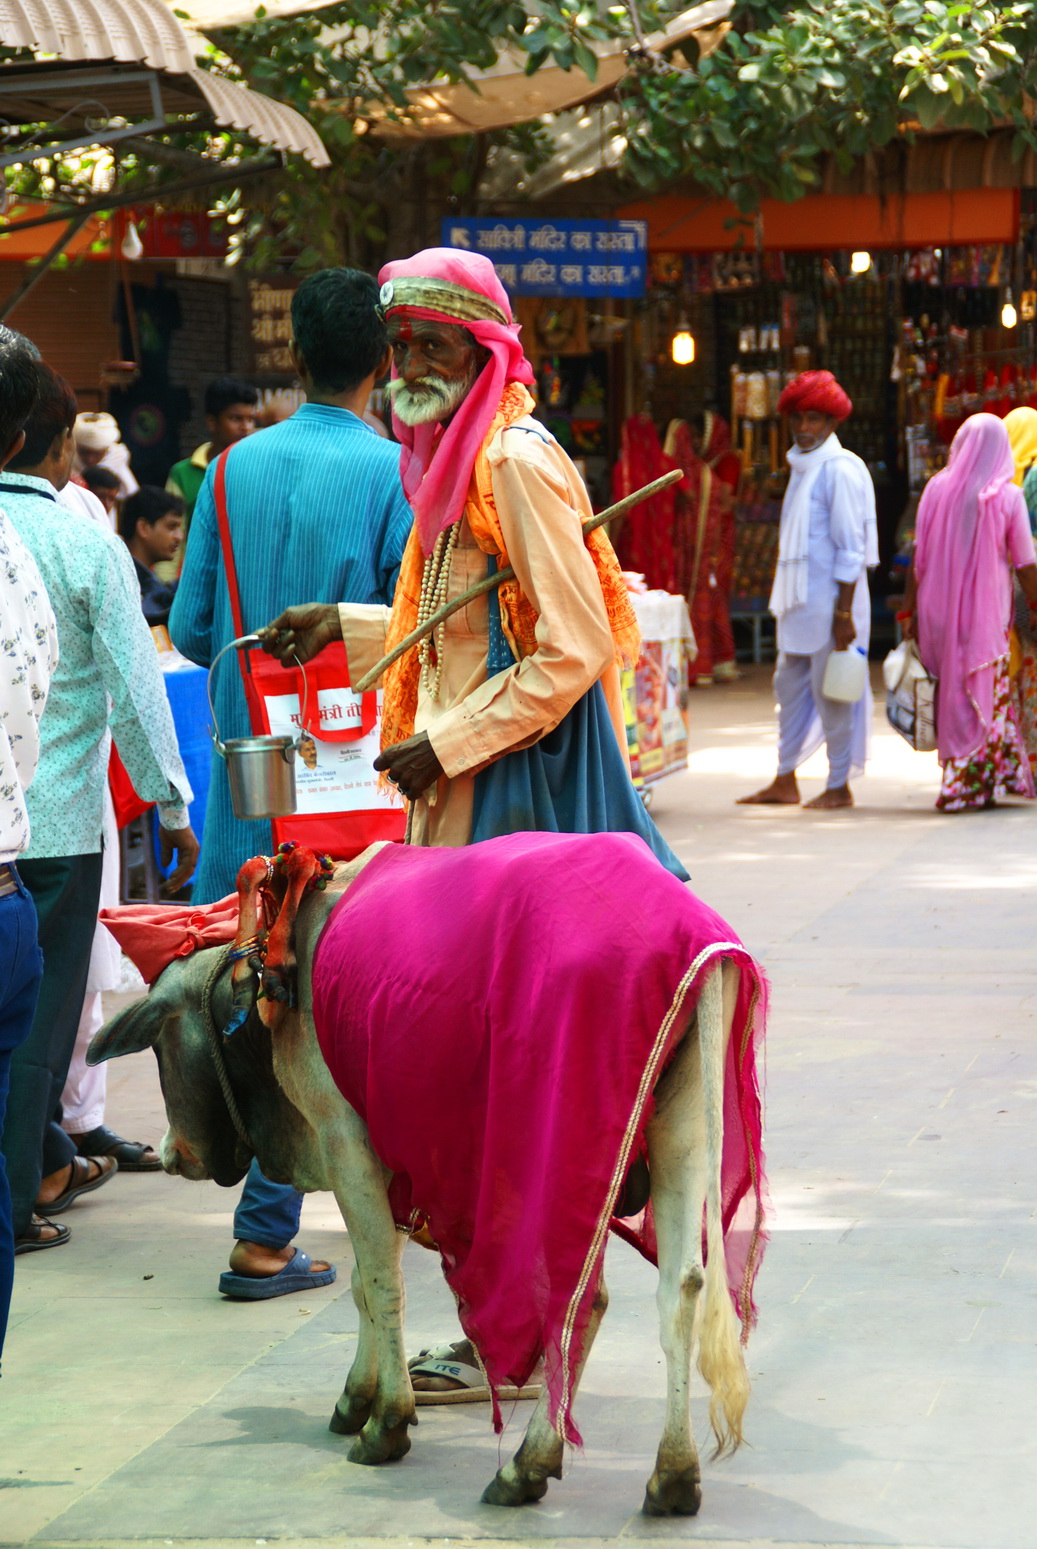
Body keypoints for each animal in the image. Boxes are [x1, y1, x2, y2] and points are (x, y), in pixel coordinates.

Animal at [89, 843, 755, 1516]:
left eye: (157, 1044)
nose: (173, 1153)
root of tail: (696, 943)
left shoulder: (346, 1140)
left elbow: (379, 1283)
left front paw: (385, 1420)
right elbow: (363, 1283)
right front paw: (358, 1396)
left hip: (557, 1157)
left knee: (582, 1302)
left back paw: (529, 1464)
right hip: (677, 1129)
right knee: (681, 1291)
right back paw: (671, 1474)